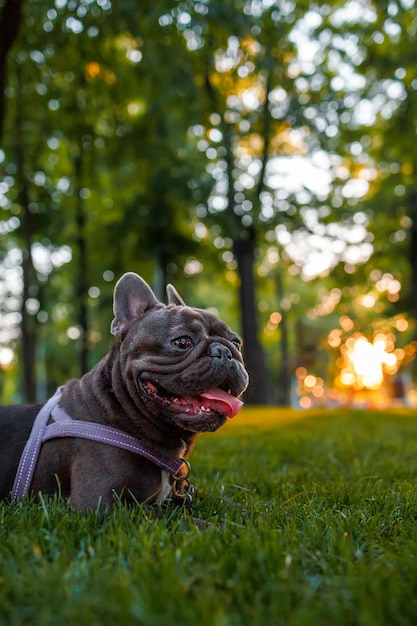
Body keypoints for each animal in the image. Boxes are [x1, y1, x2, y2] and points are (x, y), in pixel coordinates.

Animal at [0, 272, 247, 512]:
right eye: (182, 342)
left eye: (237, 342)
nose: (224, 351)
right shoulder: (106, 506)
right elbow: (181, 517)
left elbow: (226, 501)